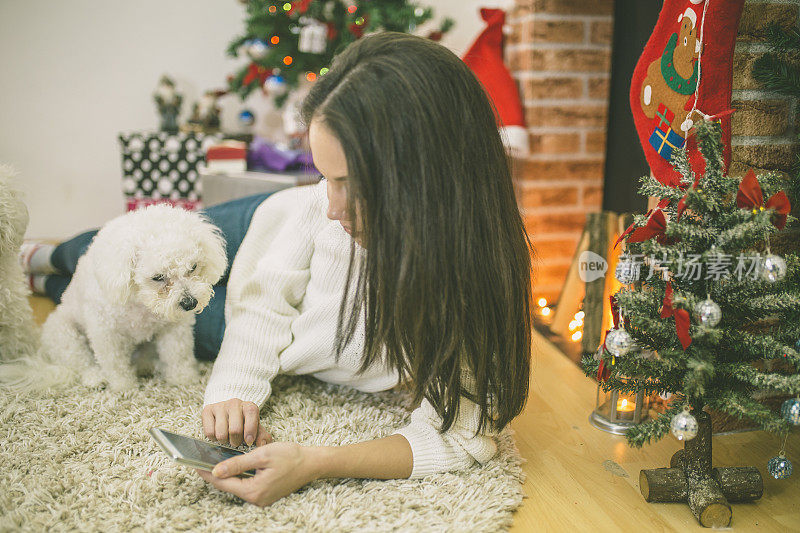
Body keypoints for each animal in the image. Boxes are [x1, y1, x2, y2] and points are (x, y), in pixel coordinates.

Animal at [15, 204, 228, 390]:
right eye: (158, 277)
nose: (190, 303)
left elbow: (178, 355)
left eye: (193, 267)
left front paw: (184, 379)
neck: (141, 302)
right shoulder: (105, 332)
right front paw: (124, 387)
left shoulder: (174, 329)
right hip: (64, 335)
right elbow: (115, 363)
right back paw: (96, 378)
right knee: (82, 362)